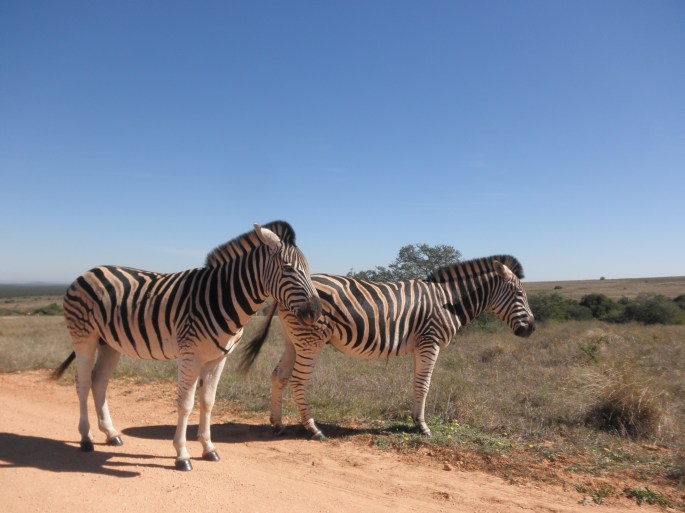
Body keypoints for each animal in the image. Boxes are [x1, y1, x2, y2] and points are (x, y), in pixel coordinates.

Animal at [53, 221, 322, 470]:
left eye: (308, 269)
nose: (316, 312)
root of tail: (88, 272)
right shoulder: (190, 355)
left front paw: (208, 448)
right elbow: (185, 404)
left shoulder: (218, 358)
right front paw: (182, 455)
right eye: (287, 268)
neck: (222, 298)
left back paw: (111, 434)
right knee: (83, 383)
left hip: (110, 344)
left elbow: (208, 402)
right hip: (84, 337)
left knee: (99, 382)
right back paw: (86, 438)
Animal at [239, 255, 535, 440]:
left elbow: (417, 383)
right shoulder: (430, 341)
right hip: (311, 339)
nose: (531, 328)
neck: (448, 301)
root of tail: (282, 292)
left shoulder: (420, 346)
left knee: (279, 376)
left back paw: (278, 424)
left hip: (294, 339)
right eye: (520, 295)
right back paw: (313, 429)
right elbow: (424, 385)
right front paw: (423, 427)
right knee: (298, 381)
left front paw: (416, 420)